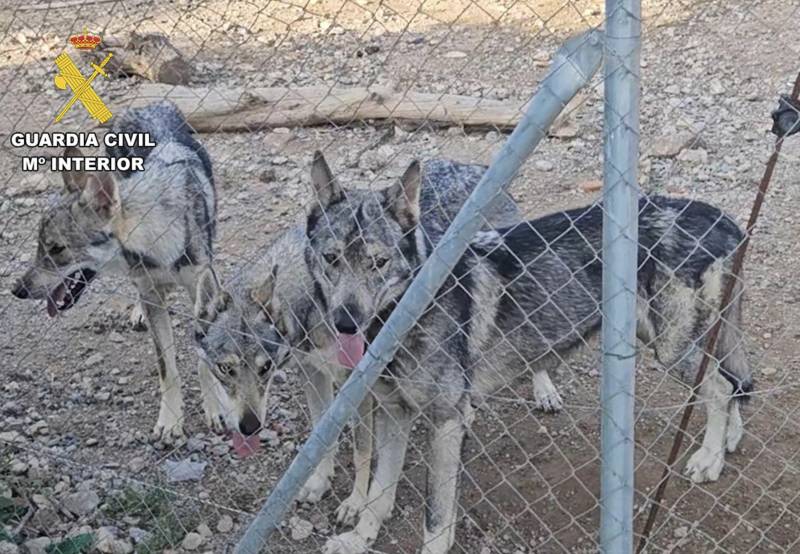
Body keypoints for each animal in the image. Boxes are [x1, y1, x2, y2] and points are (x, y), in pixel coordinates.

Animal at [10, 101, 228, 442]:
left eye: (56, 249)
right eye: (39, 247)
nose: (17, 290)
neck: (157, 241)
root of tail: (147, 104)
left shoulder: (201, 290)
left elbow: (204, 360)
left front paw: (215, 409)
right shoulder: (149, 290)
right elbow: (167, 368)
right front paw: (170, 421)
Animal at [191, 155, 520, 516]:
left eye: (265, 368)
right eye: (225, 369)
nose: (249, 427)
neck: (312, 304)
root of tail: (468, 164)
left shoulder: (359, 389)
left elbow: (363, 451)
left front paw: (356, 503)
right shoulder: (313, 374)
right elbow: (322, 435)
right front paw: (320, 481)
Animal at [304, 152, 752, 552]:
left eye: (379, 263)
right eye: (332, 259)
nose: (345, 323)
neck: (406, 311)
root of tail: (721, 217)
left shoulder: (446, 422)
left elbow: (436, 516)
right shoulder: (394, 413)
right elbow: (379, 492)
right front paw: (358, 539)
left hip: (672, 349)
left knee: (720, 388)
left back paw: (709, 459)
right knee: (734, 381)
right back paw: (728, 440)